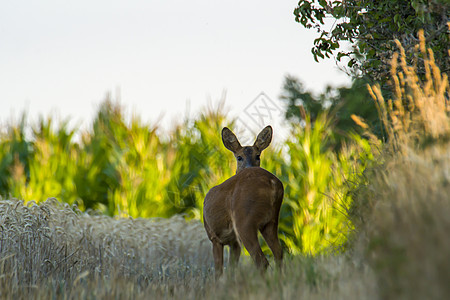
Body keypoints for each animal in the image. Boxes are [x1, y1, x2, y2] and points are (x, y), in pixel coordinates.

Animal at [203, 125, 284, 278]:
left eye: (258, 156)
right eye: (239, 157)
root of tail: (273, 183)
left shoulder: (214, 237)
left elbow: (219, 272)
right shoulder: (234, 242)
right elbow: (231, 269)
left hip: (244, 221)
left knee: (262, 261)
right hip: (271, 221)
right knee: (279, 254)